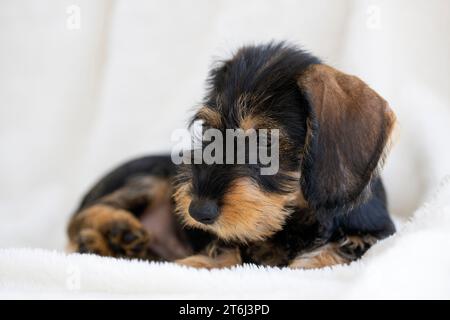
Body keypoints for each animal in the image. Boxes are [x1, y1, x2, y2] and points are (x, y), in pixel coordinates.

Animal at [67, 42, 398, 268]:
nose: (198, 211)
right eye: (209, 132)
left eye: (264, 140)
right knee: (78, 219)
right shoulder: (229, 243)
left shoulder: (375, 236)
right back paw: (114, 231)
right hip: (152, 180)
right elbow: (224, 257)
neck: (296, 215)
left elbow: (333, 251)